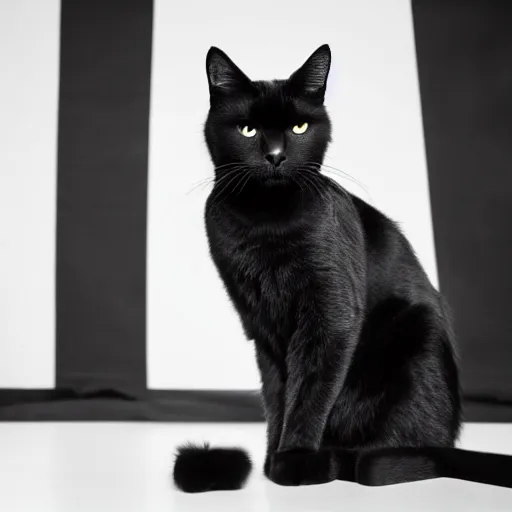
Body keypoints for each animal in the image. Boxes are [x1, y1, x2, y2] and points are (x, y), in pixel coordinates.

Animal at [173, 46, 512, 494]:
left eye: (299, 126)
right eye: (247, 129)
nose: (276, 156)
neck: (265, 223)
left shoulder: (329, 315)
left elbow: (310, 389)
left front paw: (296, 459)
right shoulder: (261, 322)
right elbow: (278, 393)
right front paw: (273, 459)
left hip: (414, 337)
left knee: (404, 438)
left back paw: (361, 458)